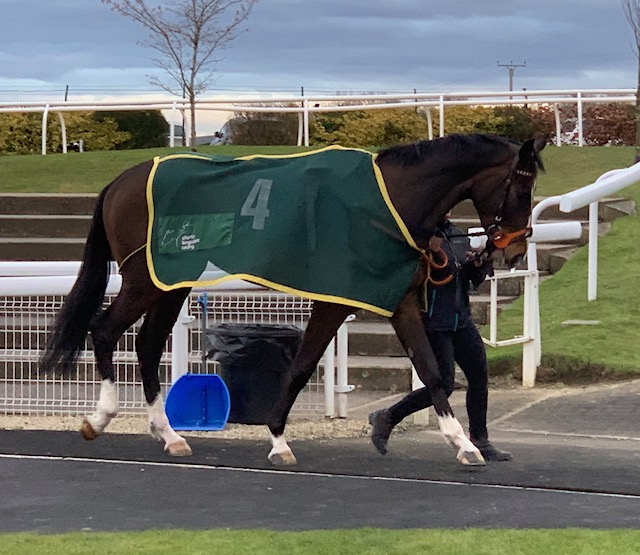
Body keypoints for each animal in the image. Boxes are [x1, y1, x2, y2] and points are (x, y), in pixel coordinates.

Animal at [41, 135, 544, 470]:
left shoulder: (399, 300)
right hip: (145, 280)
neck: (388, 200)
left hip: (171, 283)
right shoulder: (333, 301)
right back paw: (100, 418)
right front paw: (279, 440)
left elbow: (434, 371)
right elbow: (301, 367)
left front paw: (464, 444)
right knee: (106, 331)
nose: (516, 251)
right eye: (522, 189)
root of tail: (120, 180)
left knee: (145, 345)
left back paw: (169, 435)